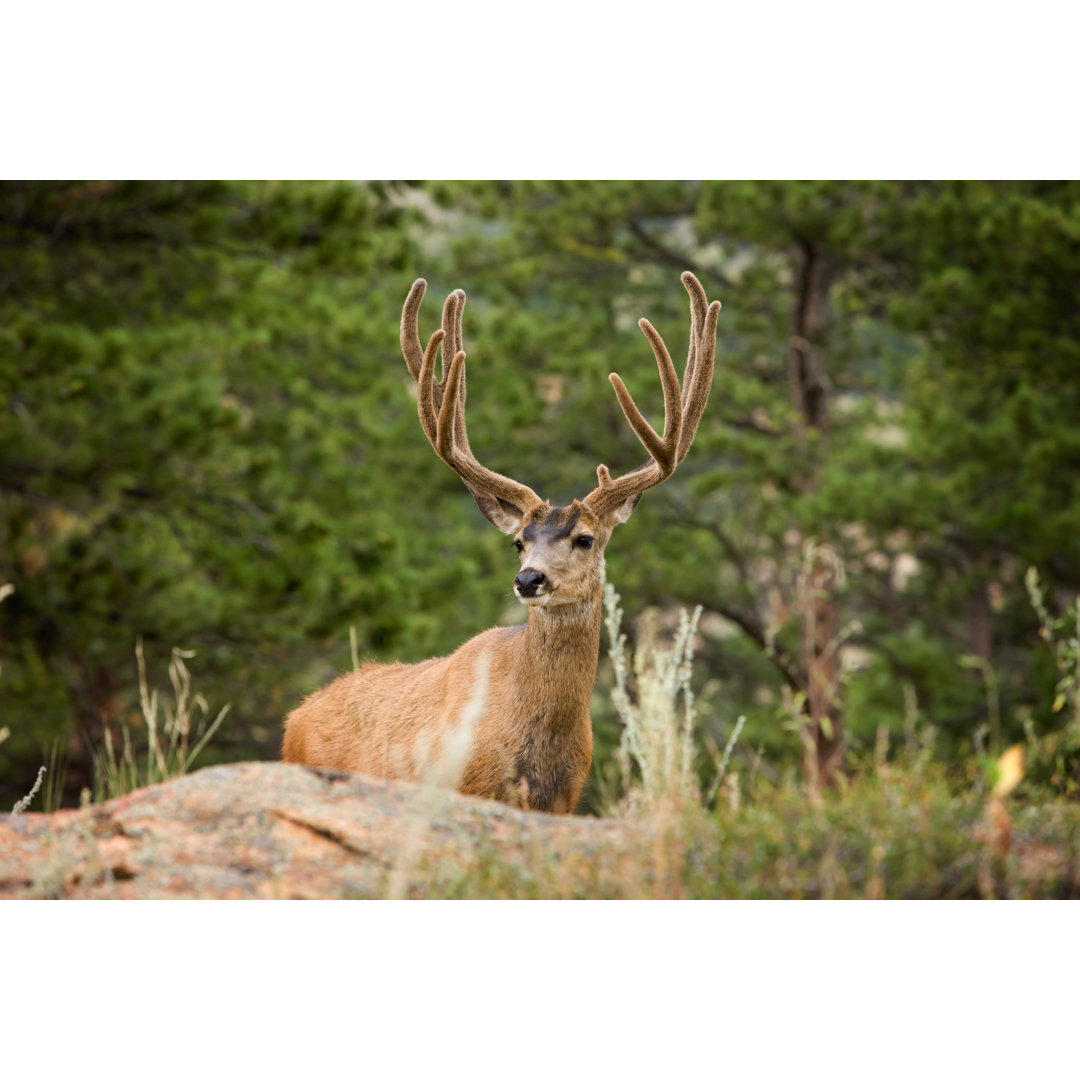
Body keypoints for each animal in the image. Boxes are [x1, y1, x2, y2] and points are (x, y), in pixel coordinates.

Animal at [280, 270, 717, 812]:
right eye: (519, 542)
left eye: (585, 539)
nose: (529, 579)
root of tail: (294, 719)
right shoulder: (466, 787)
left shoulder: (566, 798)